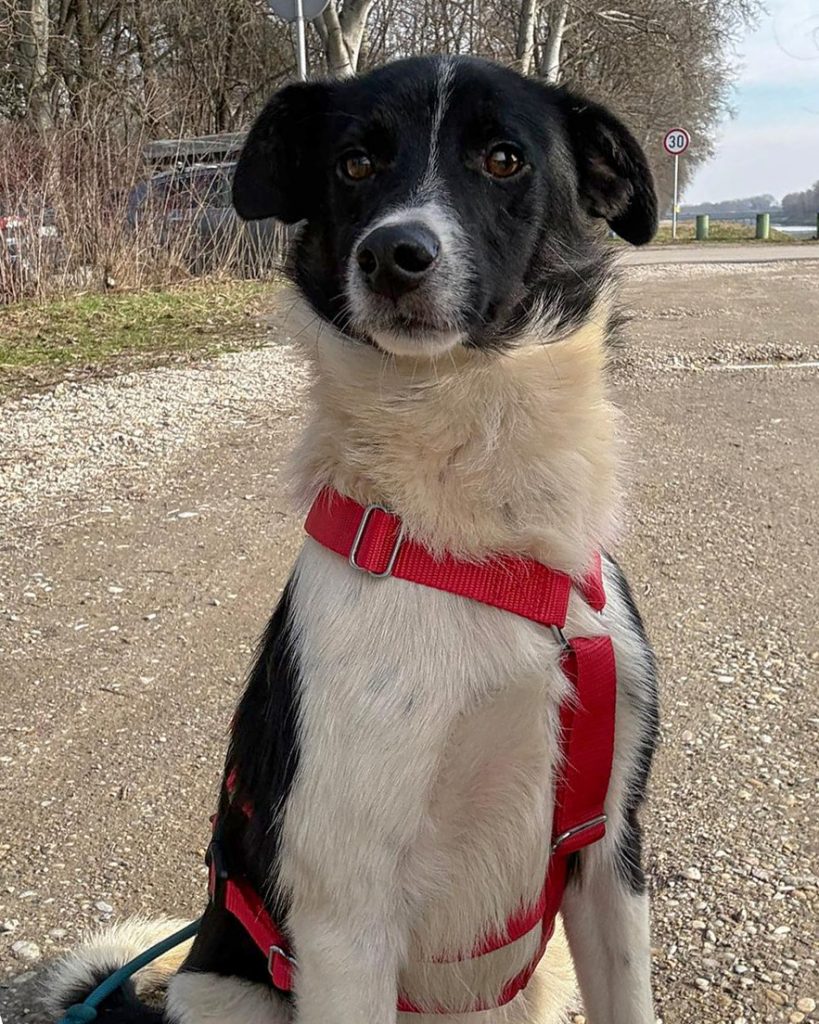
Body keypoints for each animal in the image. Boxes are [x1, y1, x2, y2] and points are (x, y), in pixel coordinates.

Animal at [49, 55, 660, 1024]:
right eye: (355, 164)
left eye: (502, 158)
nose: (391, 255)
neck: (473, 541)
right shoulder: (345, 917)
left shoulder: (608, 854)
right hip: (231, 995)